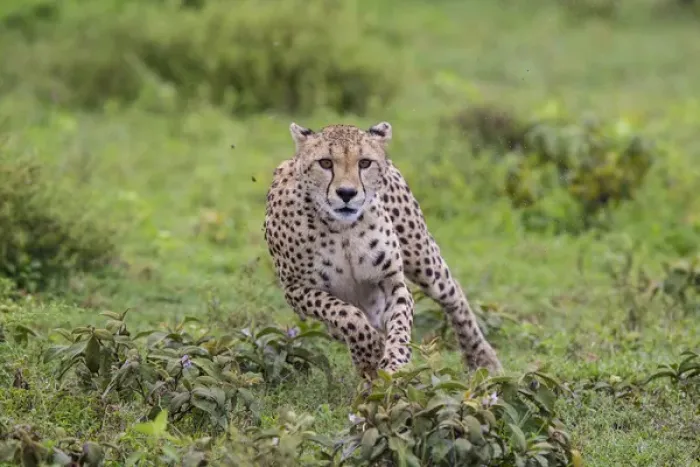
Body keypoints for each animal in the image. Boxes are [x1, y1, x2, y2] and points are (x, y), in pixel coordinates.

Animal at [263, 121, 502, 379]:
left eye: (364, 163)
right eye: (325, 163)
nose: (346, 193)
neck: (342, 228)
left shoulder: (392, 281)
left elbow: (400, 323)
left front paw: (395, 360)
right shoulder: (296, 289)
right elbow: (345, 315)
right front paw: (372, 349)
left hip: (422, 257)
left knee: (452, 293)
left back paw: (482, 358)